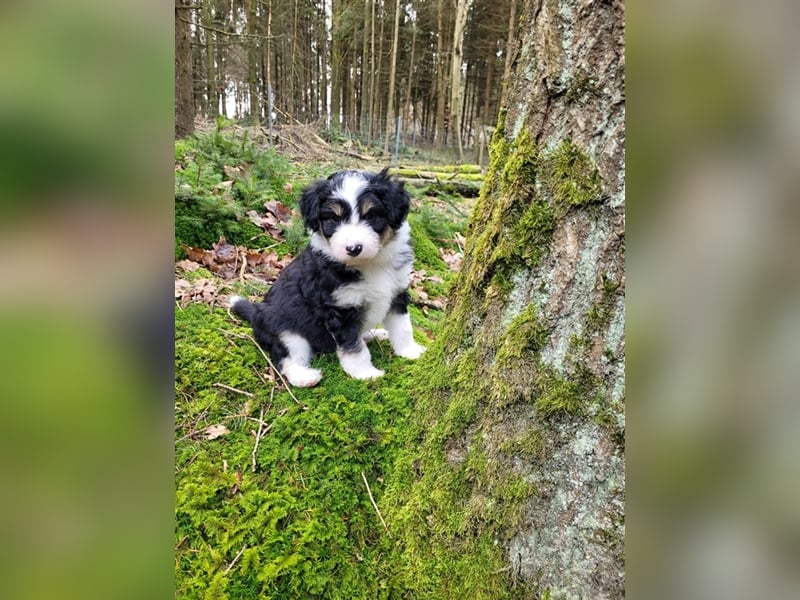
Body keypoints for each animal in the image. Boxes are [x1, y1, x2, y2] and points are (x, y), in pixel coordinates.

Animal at [228, 166, 424, 386]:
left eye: (371, 216)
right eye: (333, 219)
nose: (353, 248)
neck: (369, 264)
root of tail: (255, 315)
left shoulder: (397, 293)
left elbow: (403, 328)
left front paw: (410, 351)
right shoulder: (341, 309)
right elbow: (354, 347)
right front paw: (365, 373)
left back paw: (375, 333)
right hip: (286, 332)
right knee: (286, 359)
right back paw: (305, 377)